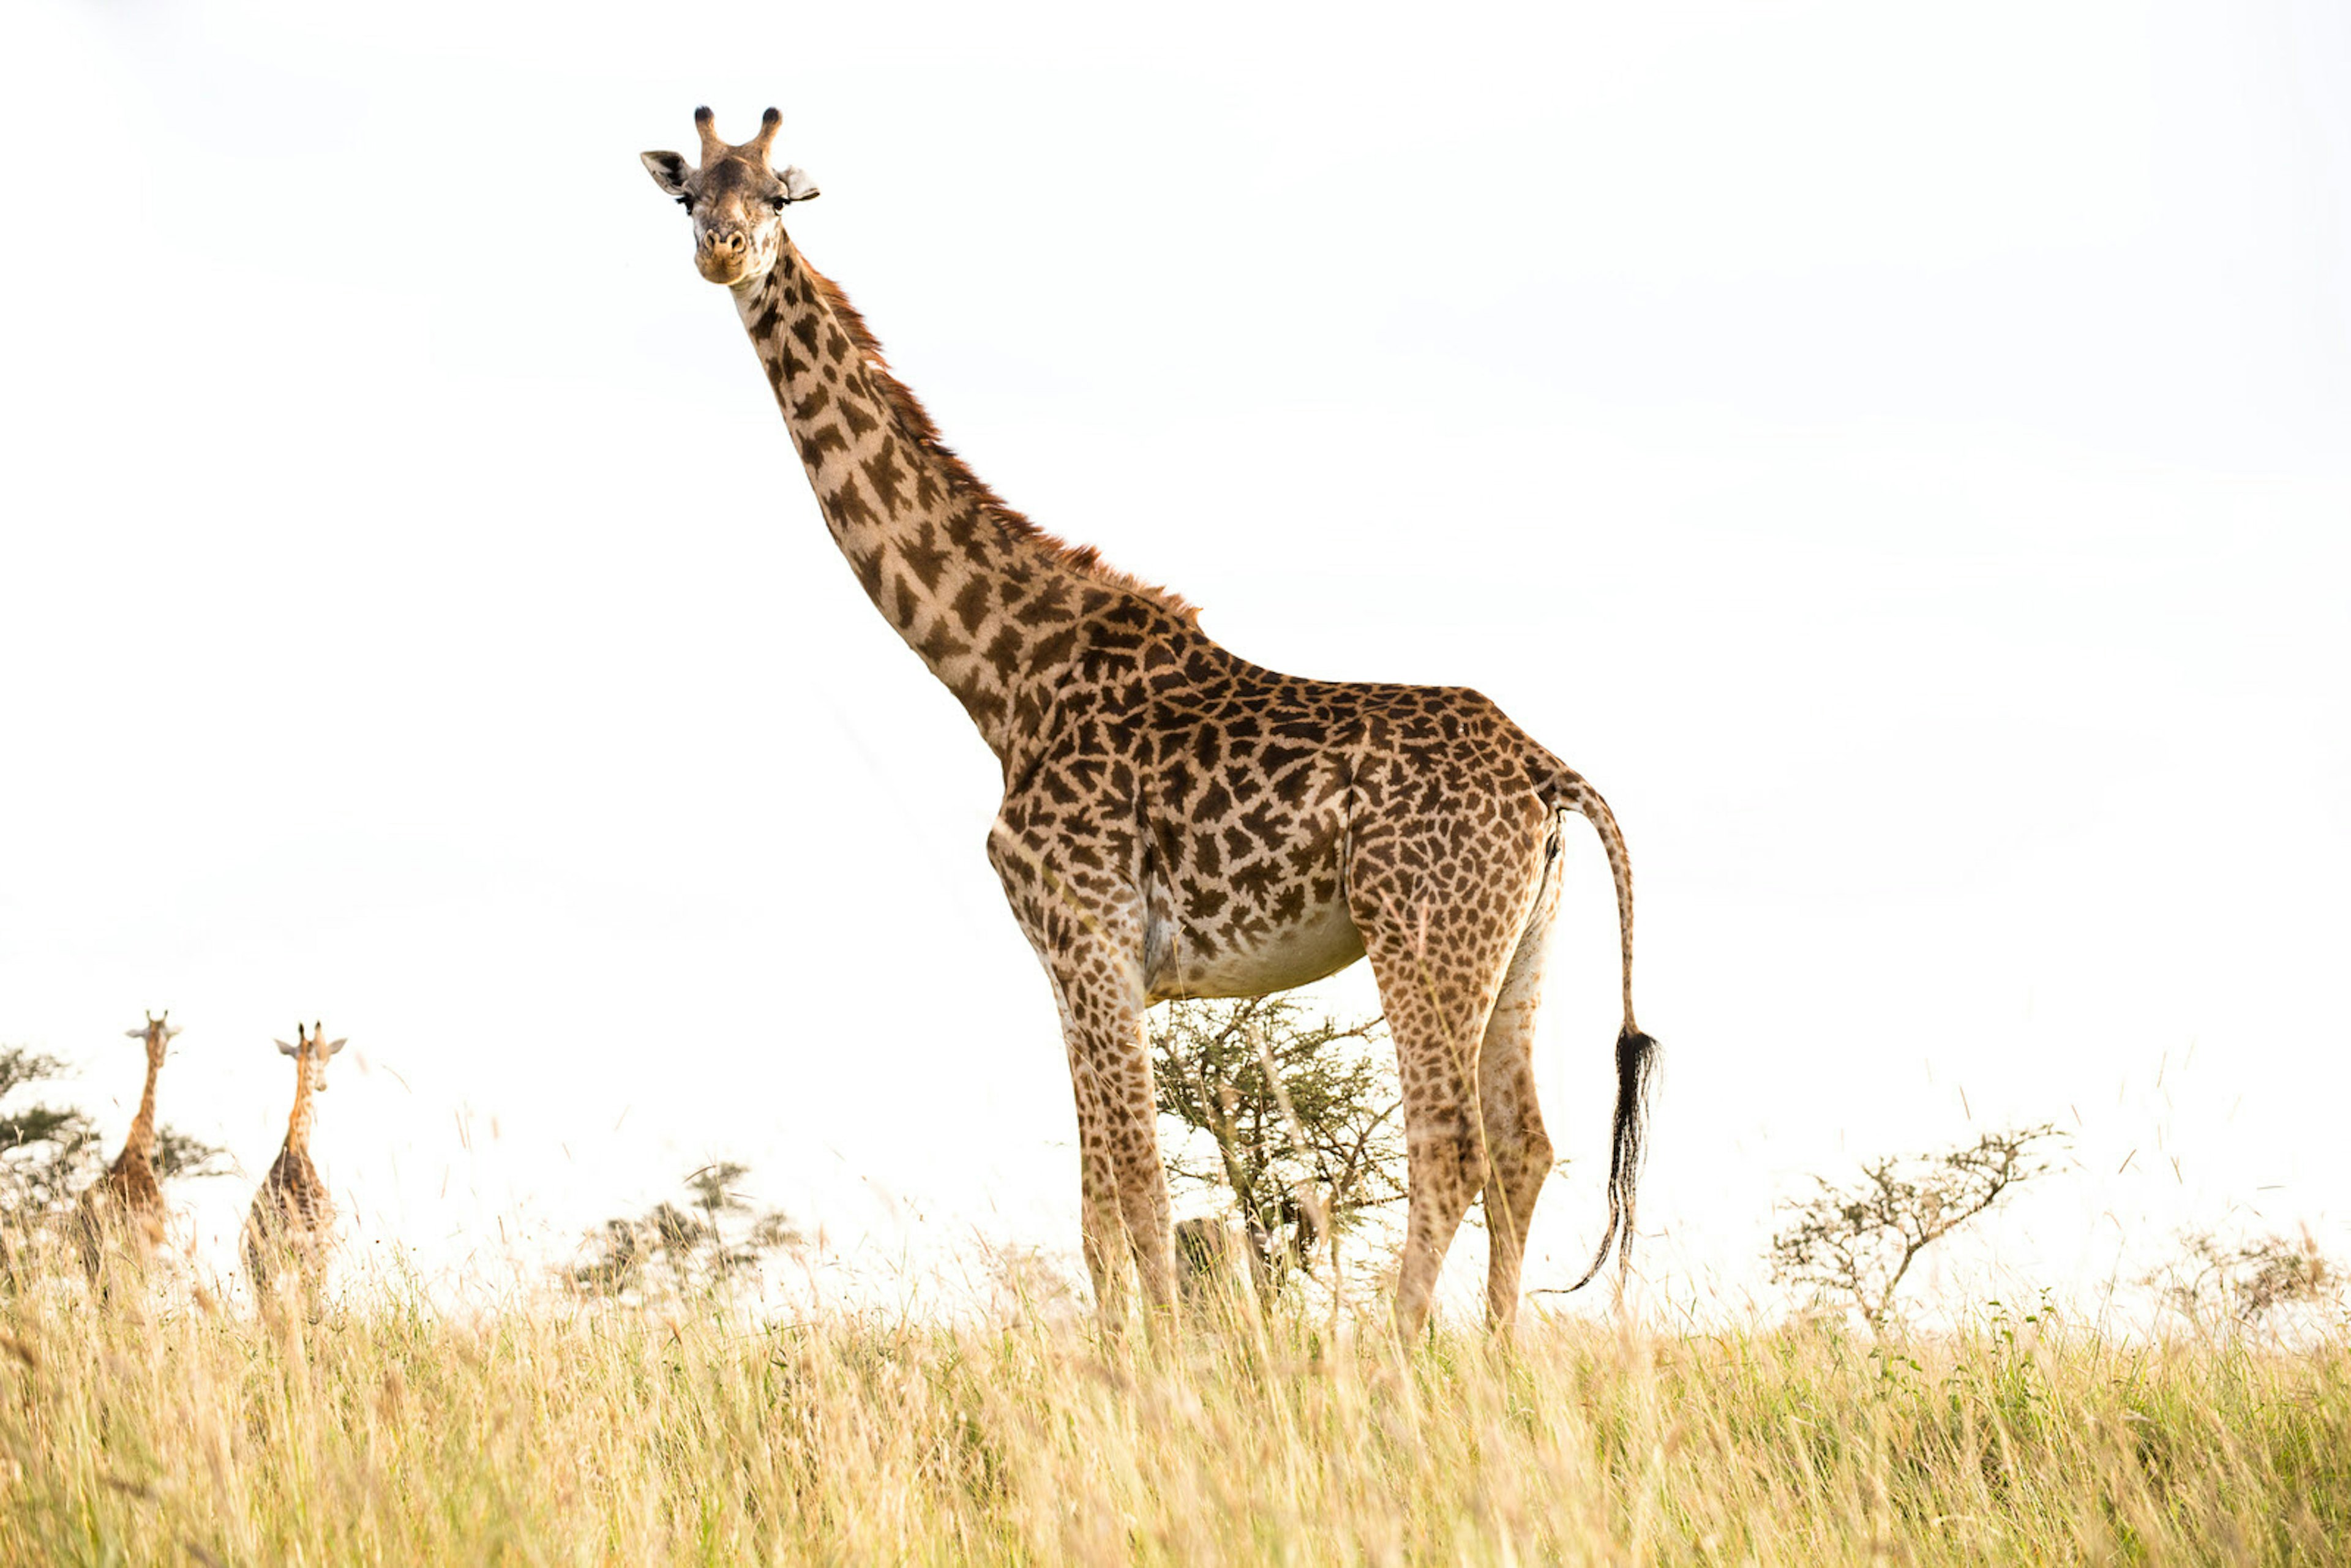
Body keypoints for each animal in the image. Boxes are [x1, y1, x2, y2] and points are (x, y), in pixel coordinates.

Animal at [74, 1020, 179, 1288]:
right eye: (168, 1037)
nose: (160, 1060)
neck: (138, 1150)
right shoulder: (152, 1243)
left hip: (92, 1255)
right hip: (129, 1247)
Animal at [644, 107, 1664, 1335]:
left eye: (778, 198)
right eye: (687, 192)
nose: (723, 249)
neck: (1002, 675)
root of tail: (1550, 774)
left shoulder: (1090, 932)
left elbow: (1137, 1183)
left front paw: (1165, 1358)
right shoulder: (1073, 959)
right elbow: (1098, 1202)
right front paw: (1123, 1353)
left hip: (1419, 930)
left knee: (1452, 1145)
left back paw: (1399, 1353)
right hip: (1518, 941)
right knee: (1524, 1148)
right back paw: (1497, 1356)